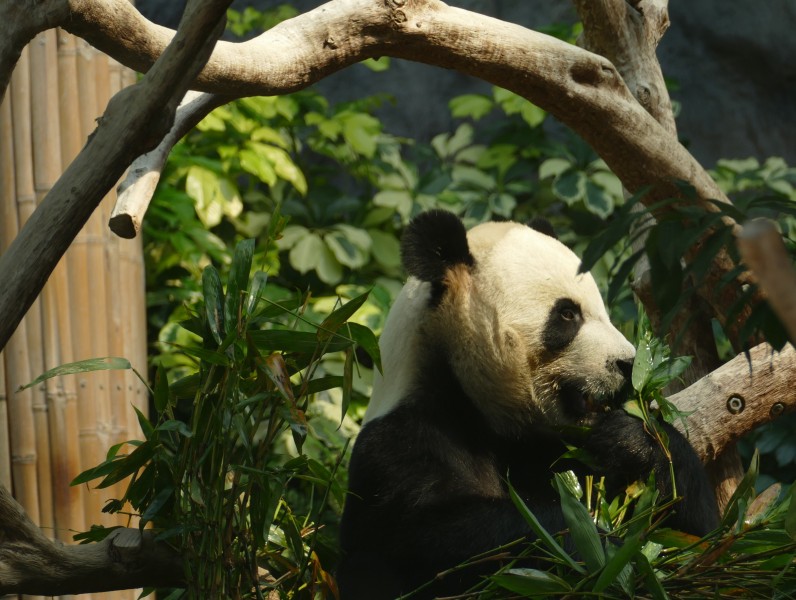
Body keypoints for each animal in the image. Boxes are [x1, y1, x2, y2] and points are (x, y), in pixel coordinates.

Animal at [338, 209, 720, 596]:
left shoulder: (565, 452)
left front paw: (632, 442)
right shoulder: (400, 447)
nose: (629, 365)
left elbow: (698, 535)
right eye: (567, 314)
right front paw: (599, 548)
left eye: (604, 312)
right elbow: (434, 539)